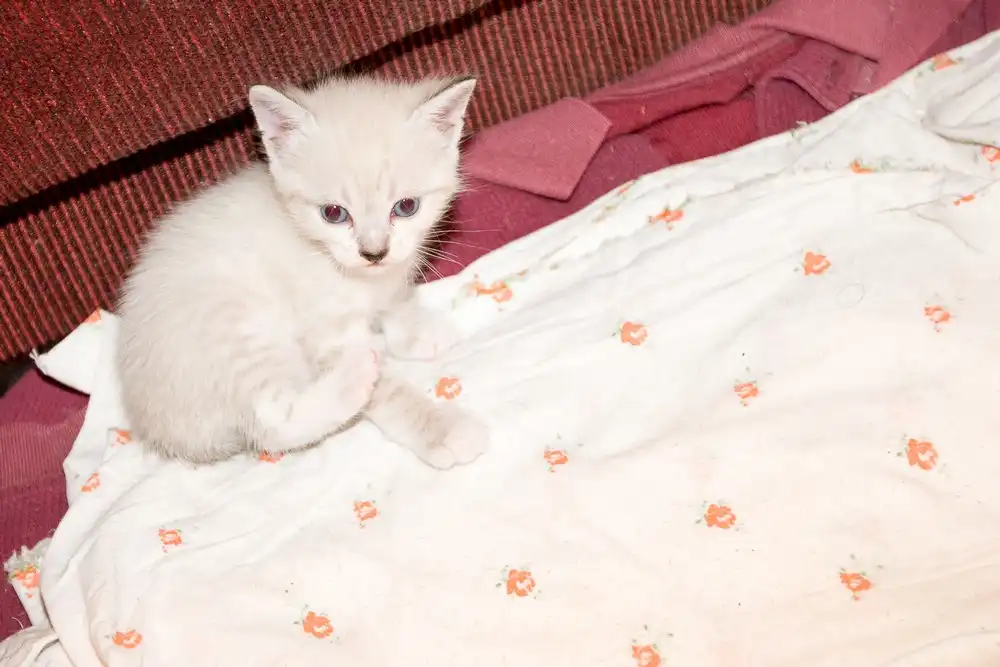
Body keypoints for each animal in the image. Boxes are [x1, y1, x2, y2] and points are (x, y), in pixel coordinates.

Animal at [116, 75, 489, 469]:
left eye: (406, 207)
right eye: (334, 214)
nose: (373, 252)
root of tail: (163, 433)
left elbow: (397, 300)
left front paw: (418, 331)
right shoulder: (325, 333)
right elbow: (390, 393)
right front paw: (442, 429)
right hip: (241, 328)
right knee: (272, 424)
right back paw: (355, 376)